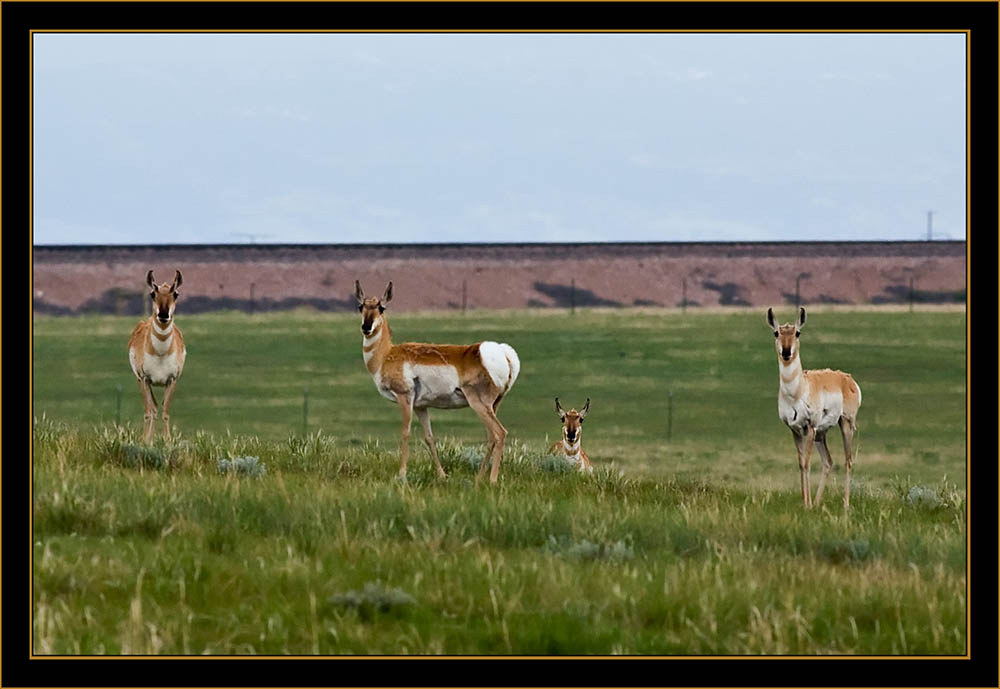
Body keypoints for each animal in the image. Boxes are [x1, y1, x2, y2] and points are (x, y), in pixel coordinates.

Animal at [128, 268, 187, 440]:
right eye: (153, 294)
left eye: (176, 293)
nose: (163, 314)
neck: (160, 353)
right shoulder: (145, 379)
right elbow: (151, 411)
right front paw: (147, 441)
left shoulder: (172, 380)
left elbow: (165, 411)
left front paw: (167, 441)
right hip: (140, 381)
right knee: (150, 410)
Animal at [354, 280, 524, 484]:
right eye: (361, 306)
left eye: (381, 307)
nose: (366, 327)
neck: (387, 354)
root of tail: (502, 352)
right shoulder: (421, 406)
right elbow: (429, 437)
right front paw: (442, 475)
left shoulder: (405, 398)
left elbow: (406, 432)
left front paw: (401, 475)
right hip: (493, 405)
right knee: (491, 436)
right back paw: (478, 478)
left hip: (479, 403)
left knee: (499, 433)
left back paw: (491, 480)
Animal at [764, 310, 860, 508]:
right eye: (776, 333)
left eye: (797, 333)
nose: (786, 352)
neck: (798, 391)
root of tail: (846, 378)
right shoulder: (795, 430)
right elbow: (801, 463)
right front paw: (805, 503)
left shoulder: (809, 427)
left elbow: (807, 463)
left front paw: (806, 505)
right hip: (821, 433)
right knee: (828, 462)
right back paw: (817, 502)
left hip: (845, 424)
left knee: (848, 460)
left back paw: (845, 504)